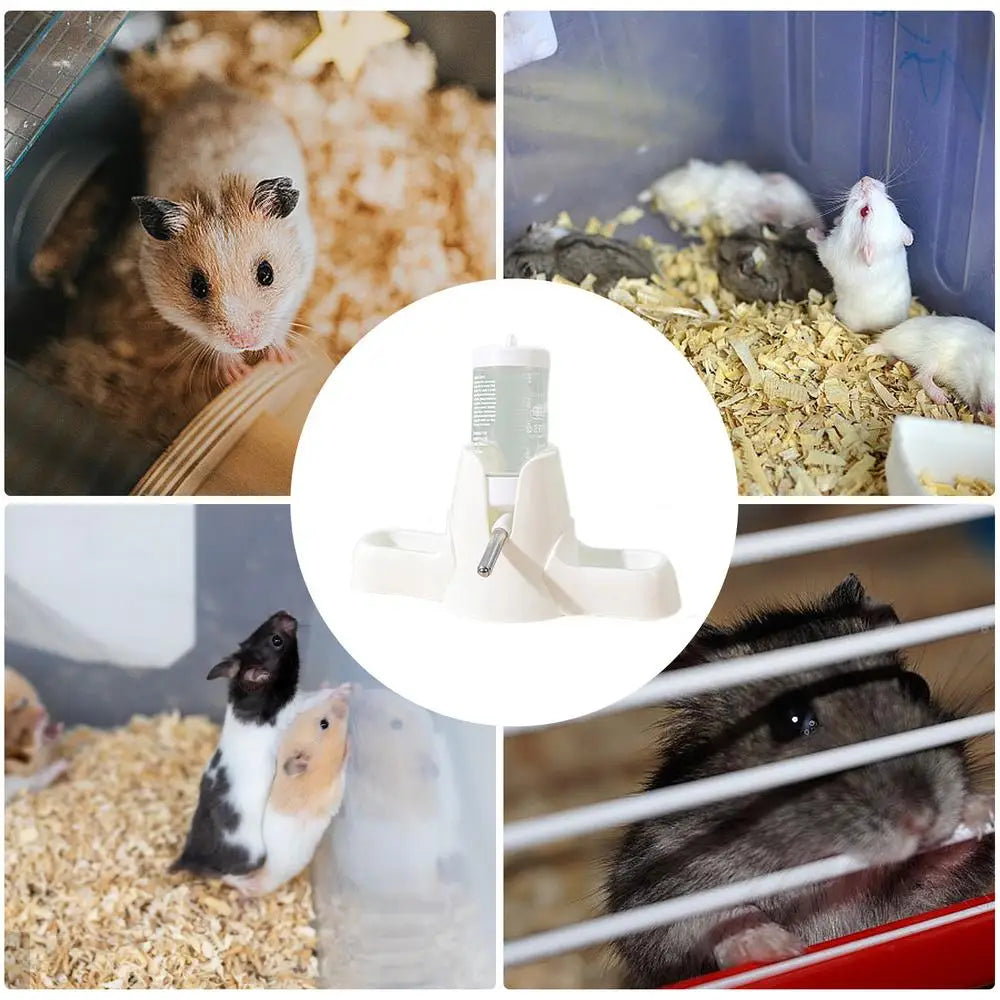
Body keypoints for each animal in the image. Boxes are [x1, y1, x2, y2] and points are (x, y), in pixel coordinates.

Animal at [133, 81, 316, 383]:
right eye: (197, 286)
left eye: (266, 273)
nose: (244, 343)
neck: (215, 195)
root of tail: (207, 85)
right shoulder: (170, 309)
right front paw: (237, 374)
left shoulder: (300, 282)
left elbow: (280, 325)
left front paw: (281, 359)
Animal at [171, 611, 328, 878]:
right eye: (276, 641)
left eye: (253, 632)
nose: (285, 613)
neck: (251, 693)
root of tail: (187, 856)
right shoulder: (291, 712)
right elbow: (308, 702)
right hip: (253, 855)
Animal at [605, 575, 994, 988]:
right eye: (790, 720)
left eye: (917, 685)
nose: (924, 819)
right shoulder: (653, 890)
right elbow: (706, 921)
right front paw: (780, 947)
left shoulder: (911, 908)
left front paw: (976, 812)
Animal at [807, 177, 913, 333]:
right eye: (889, 199)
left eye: (865, 211)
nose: (865, 178)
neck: (884, 253)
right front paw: (837, 220)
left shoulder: (830, 251)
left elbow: (820, 245)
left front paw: (810, 231)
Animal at [864, 315, 995, 415]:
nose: (992, 415)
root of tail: (885, 341)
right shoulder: (966, 372)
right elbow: (970, 395)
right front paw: (976, 413)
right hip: (931, 356)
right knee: (922, 377)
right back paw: (942, 398)